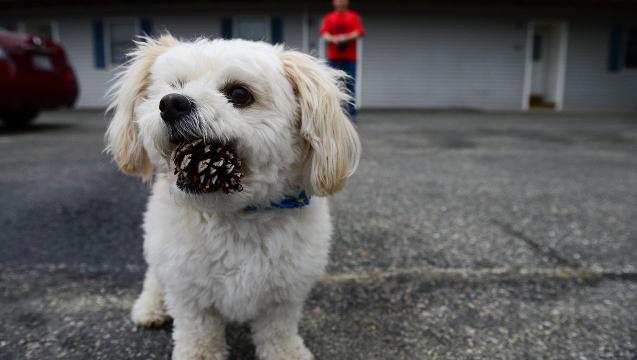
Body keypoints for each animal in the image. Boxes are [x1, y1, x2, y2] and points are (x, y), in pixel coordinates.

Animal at [107, 34, 360, 360]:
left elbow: (278, 331)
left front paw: (286, 352)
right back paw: (150, 308)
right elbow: (198, 334)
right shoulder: (189, 292)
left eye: (239, 93)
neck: (236, 216)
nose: (172, 103)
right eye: (175, 85)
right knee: (153, 278)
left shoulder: (284, 294)